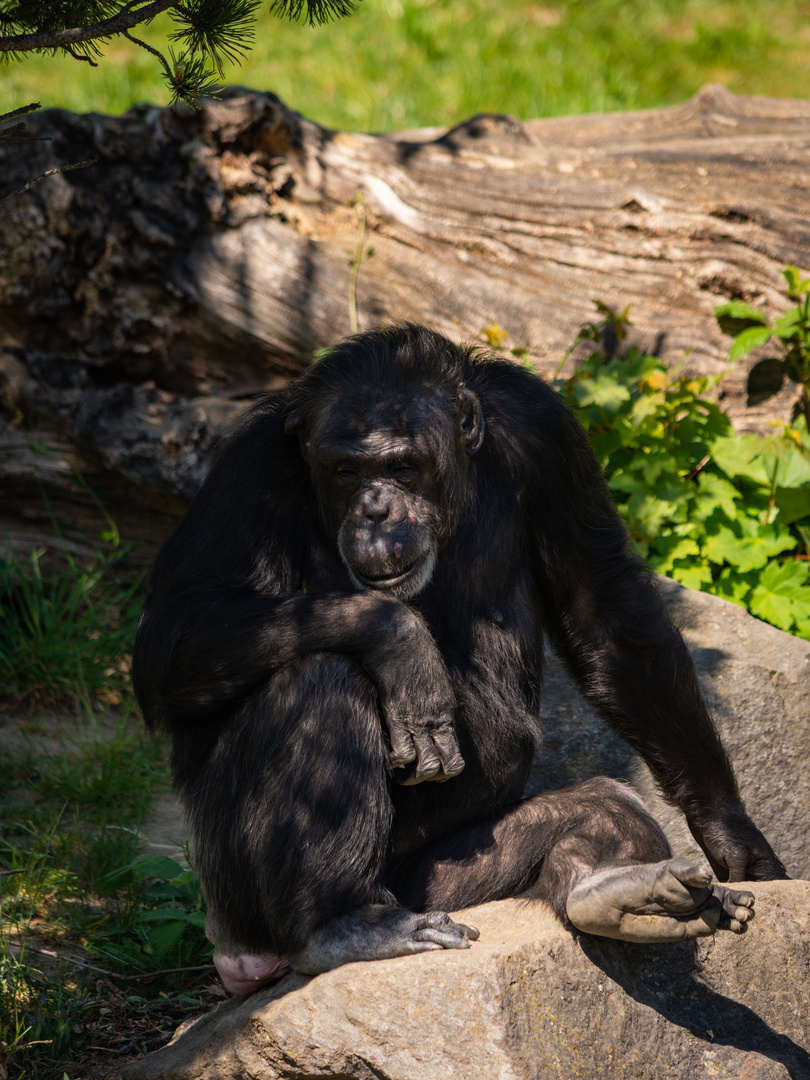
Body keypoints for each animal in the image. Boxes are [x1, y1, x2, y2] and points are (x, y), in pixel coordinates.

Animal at [131, 321, 786, 993]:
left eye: (402, 466)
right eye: (346, 471)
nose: (375, 508)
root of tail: (236, 958)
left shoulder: (546, 429)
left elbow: (601, 609)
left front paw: (732, 836)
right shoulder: (251, 466)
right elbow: (175, 626)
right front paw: (402, 645)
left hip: (441, 884)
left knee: (599, 807)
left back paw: (619, 892)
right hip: (237, 898)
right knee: (321, 675)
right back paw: (343, 924)